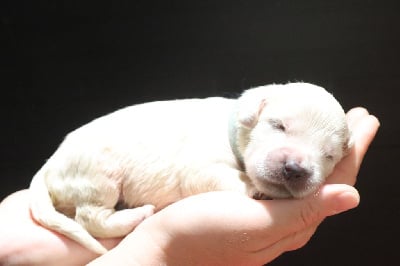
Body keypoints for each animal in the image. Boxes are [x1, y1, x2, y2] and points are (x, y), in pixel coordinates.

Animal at [29, 82, 352, 254]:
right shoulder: (201, 167)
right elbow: (219, 176)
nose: (295, 168)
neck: (231, 130)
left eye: (329, 155)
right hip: (98, 178)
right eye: (278, 125)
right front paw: (253, 188)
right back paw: (137, 215)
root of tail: (48, 166)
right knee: (90, 218)